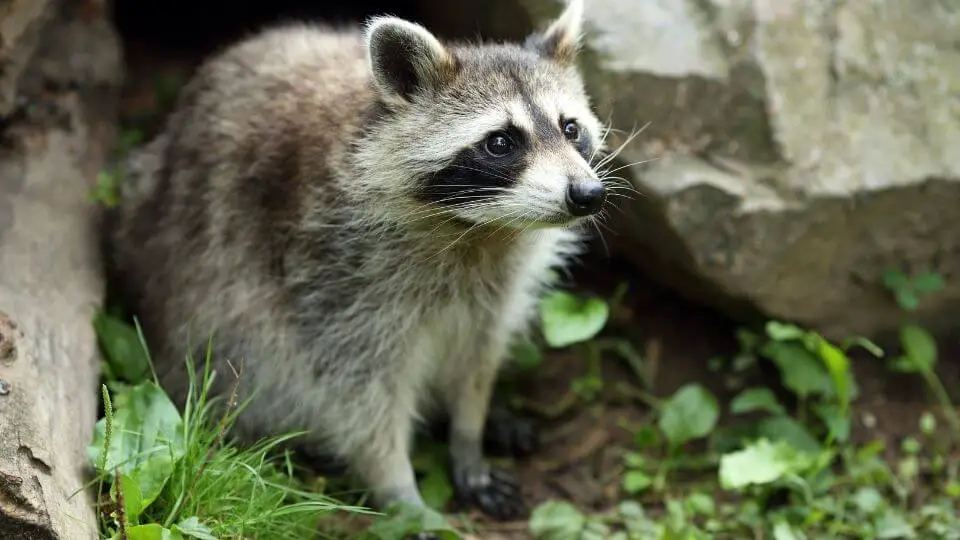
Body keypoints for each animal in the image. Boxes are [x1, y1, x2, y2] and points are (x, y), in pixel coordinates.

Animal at [105, 0, 612, 520]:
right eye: (500, 142)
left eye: (570, 128)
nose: (587, 193)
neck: (480, 231)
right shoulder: (334, 278)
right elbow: (358, 395)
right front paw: (399, 489)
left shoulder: (495, 293)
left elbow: (478, 361)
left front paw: (468, 437)